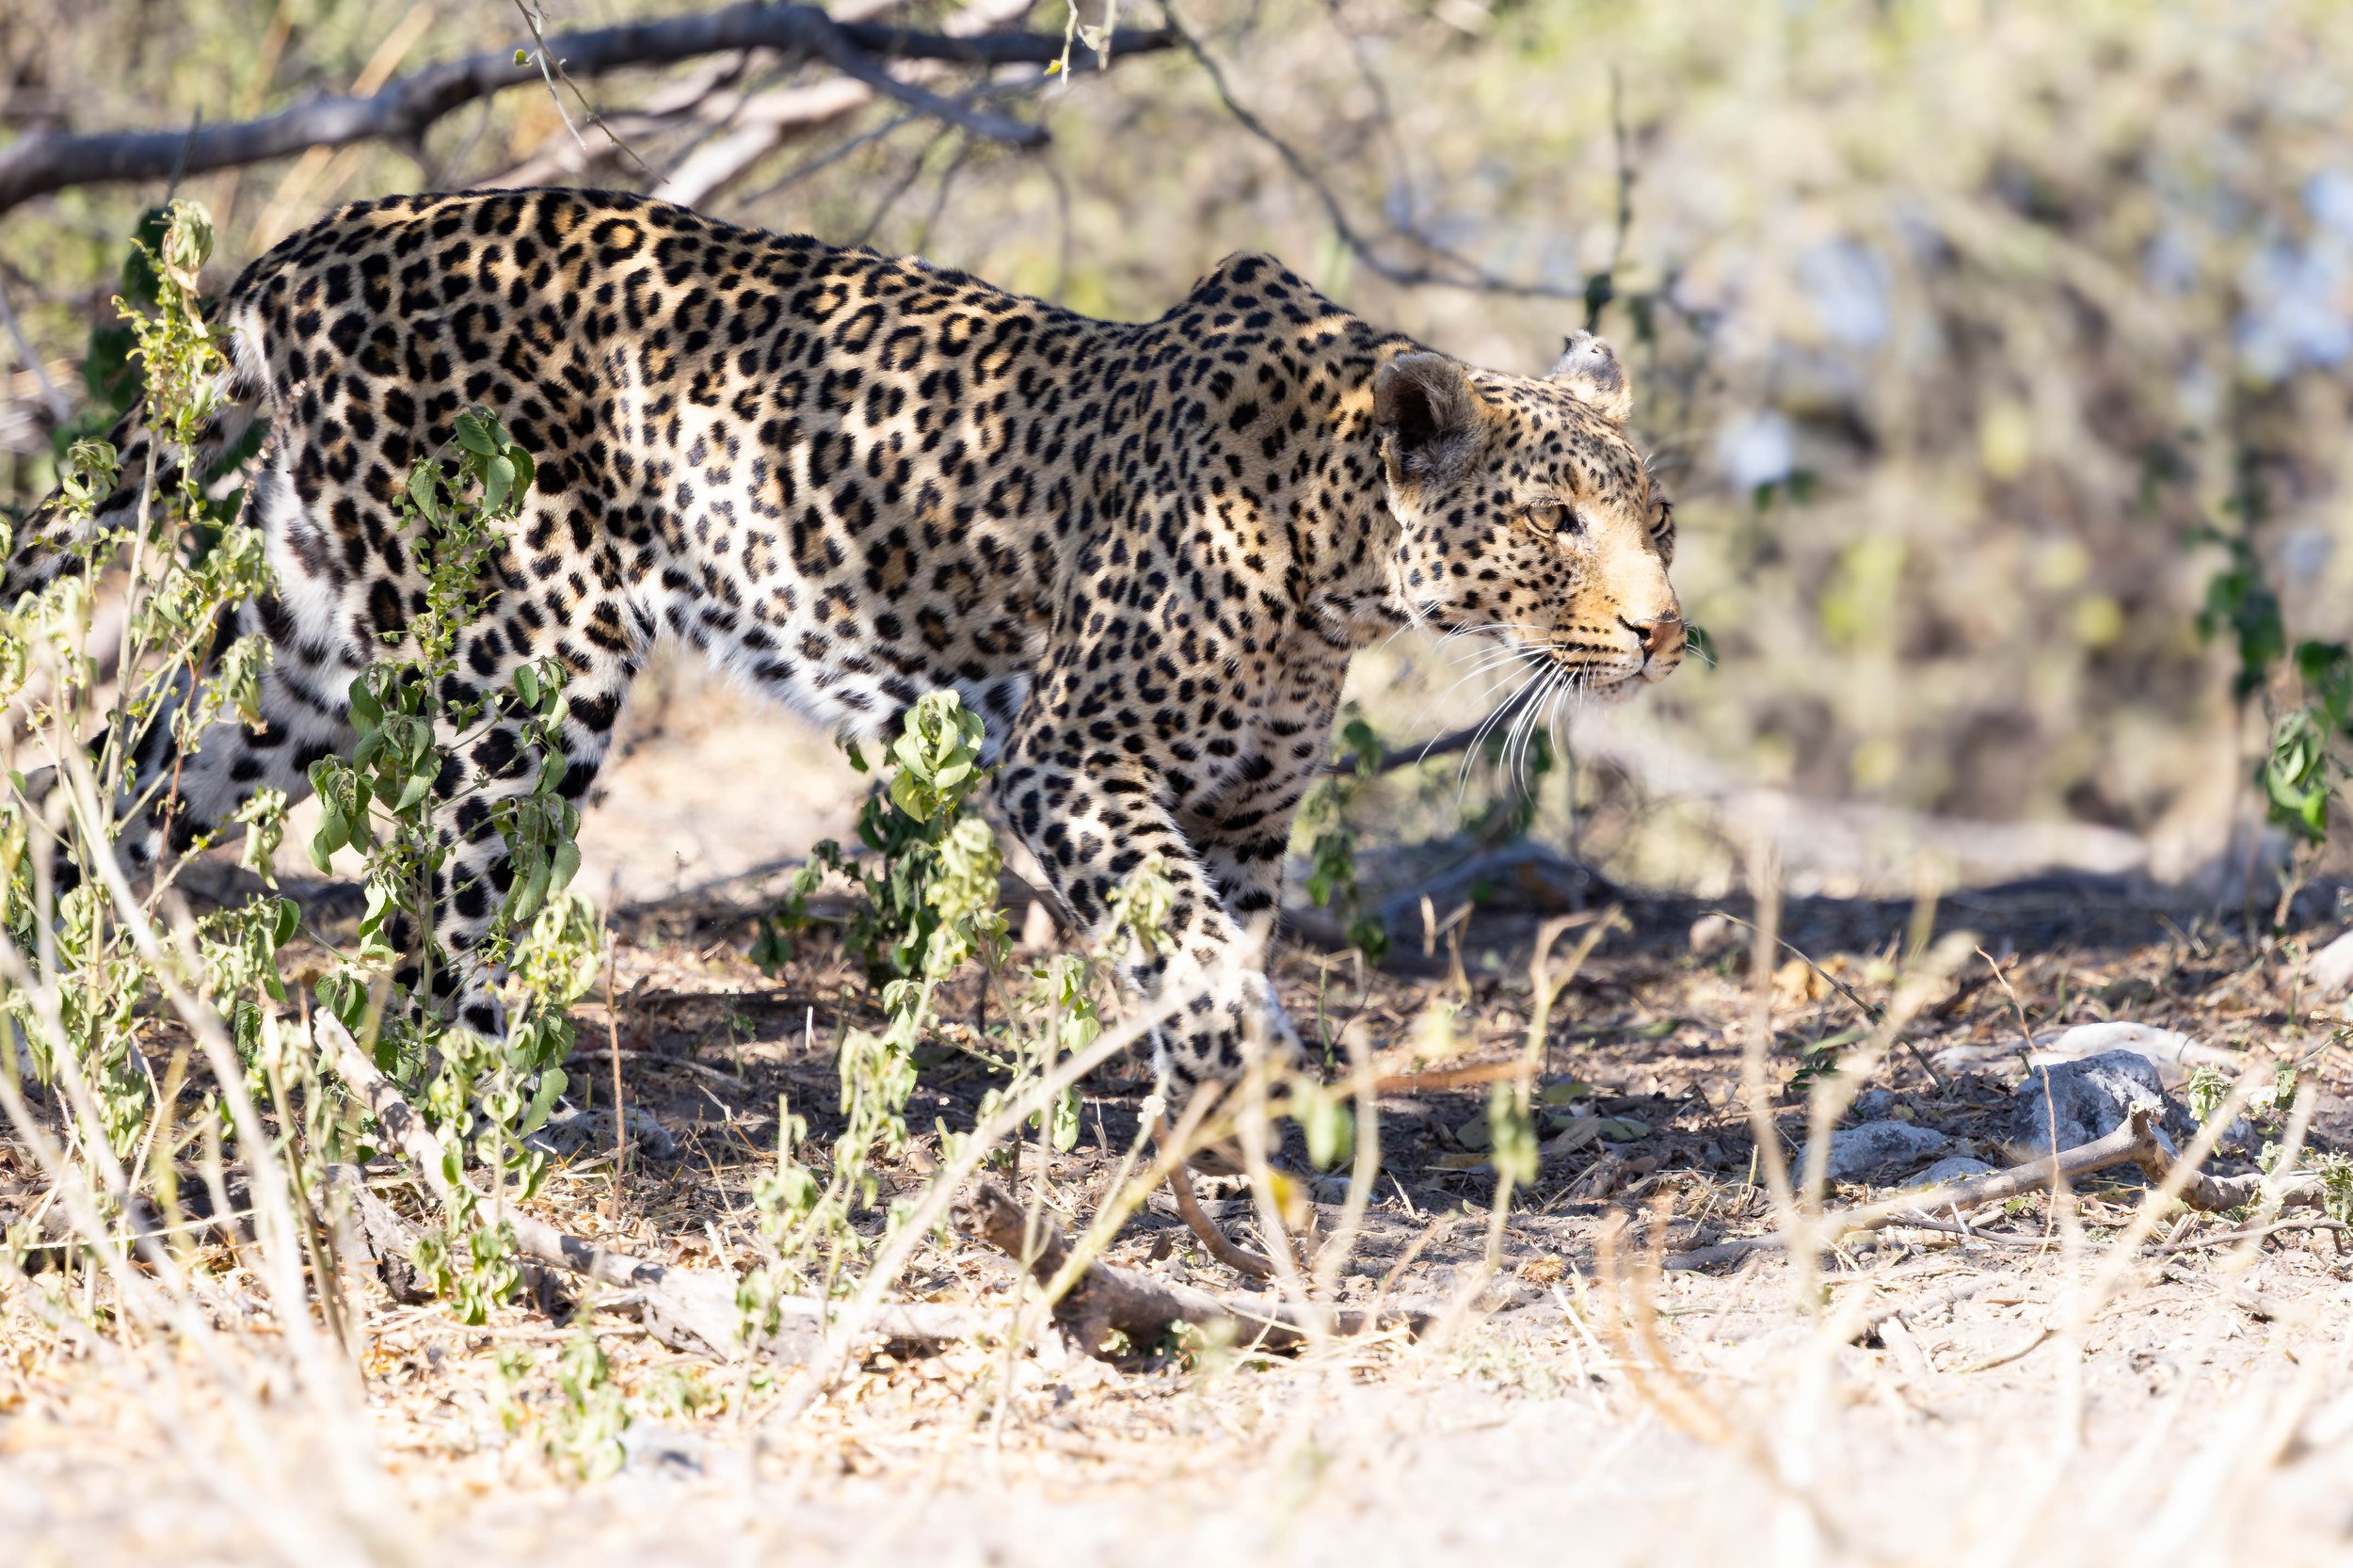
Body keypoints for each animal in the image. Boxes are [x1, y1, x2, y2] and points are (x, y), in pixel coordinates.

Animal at [4, 187, 1683, 1097]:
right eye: (1557, 524)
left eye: (1657, 519)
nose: (1666, 634)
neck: (1339, 562)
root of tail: (306, 247)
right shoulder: (1069, 763)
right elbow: (1193, 950)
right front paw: (1243, 1079)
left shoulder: (1247, 811)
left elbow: (1204, 943)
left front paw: (1197, 1142)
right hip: (524, 655)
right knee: (428, 934)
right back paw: (468, 1108)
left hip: (311, 648)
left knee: (110, 784)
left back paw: (49, 1000)